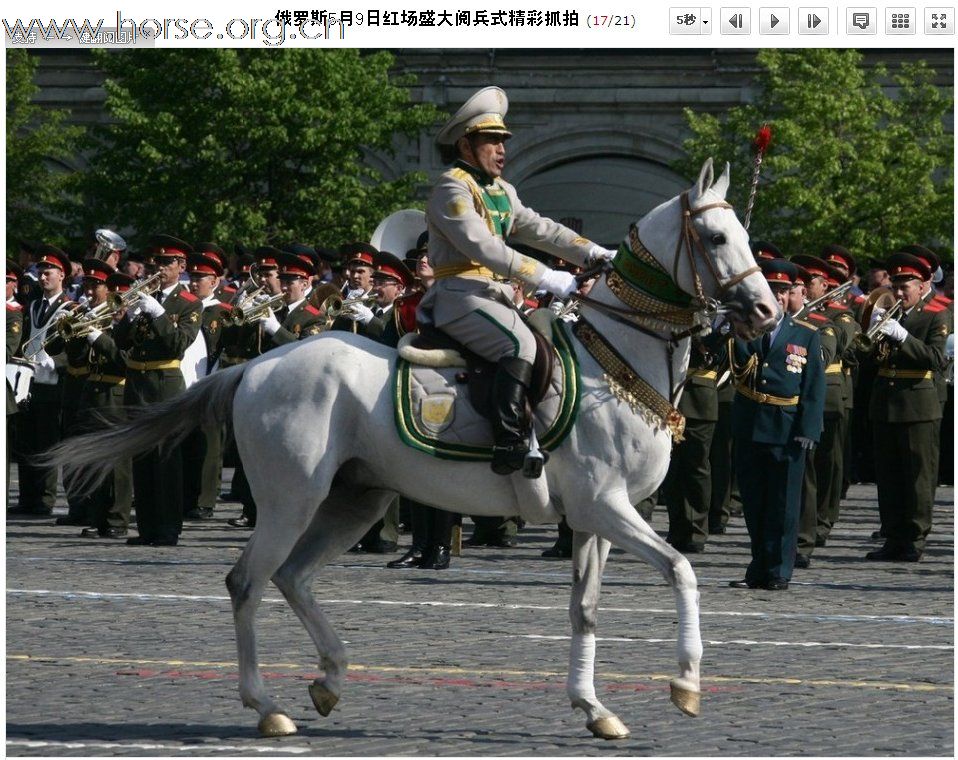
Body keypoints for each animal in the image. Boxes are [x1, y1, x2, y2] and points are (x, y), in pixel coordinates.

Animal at [45, 159, 780, 744]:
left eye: (746, 237)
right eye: (717, 236)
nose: (767, 315)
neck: (616, 360)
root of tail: (258, 364)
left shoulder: (597, 517)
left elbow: (587, 609)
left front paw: (593, 707)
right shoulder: (605, 507)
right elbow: (681, 571)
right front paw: (685, 684)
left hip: (358, 499)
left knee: (293, 577)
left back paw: (330, 679)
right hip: (291, 498)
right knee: (249, 580)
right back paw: (267, 705)